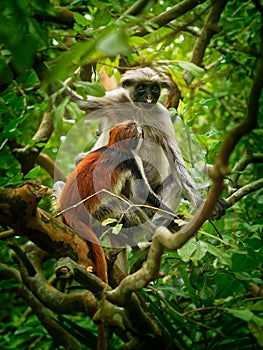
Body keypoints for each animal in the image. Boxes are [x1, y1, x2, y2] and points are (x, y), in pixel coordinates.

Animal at [57, 120, 177, 282]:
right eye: (139, 131)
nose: (142, 132)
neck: (115, 146)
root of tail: (69, 214)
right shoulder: (130, 160)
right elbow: (141, 193)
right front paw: (175, 218)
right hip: (99, 212)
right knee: (126, 205)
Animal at [69, 66, 227, 219]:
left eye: (155, 89)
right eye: (142, 88)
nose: (149, 97)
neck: (139, 110)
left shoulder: (161, 114)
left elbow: (177, 165)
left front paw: (200, 203)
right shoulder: (116, 99)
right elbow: (75, 103)